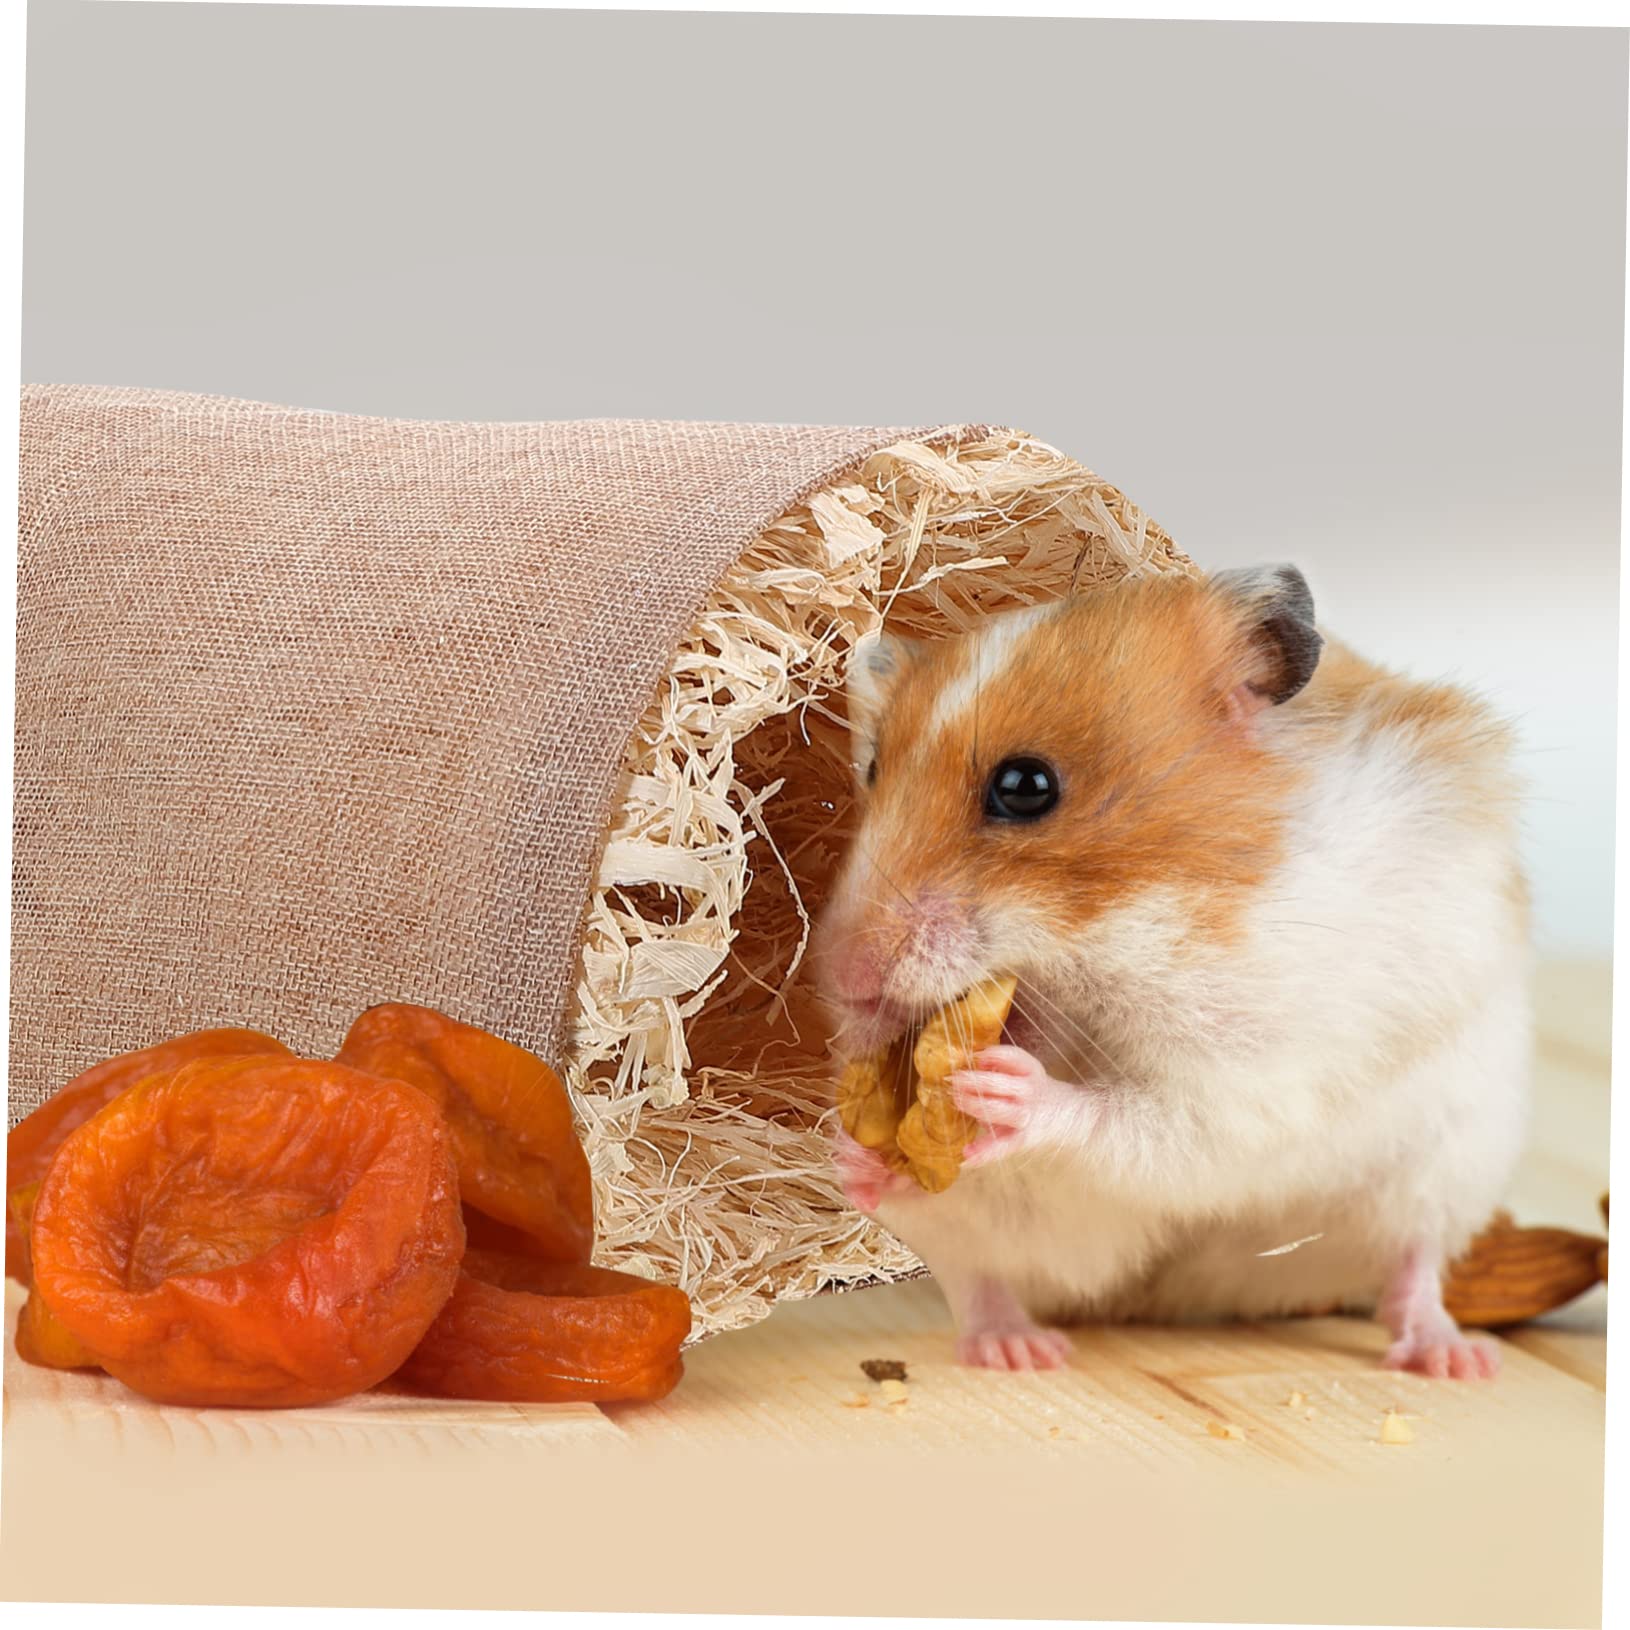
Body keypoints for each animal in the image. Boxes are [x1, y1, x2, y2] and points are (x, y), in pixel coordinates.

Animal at [813, 565, 1531, 1377]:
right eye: (873, 770)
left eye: (1026, 786)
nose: (844, 978)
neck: (1124, 937)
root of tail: (1185, 1295)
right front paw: (853, 1126)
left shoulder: (1252, 1073)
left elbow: (1150, 1120)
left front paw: (1006, 1088)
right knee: (976, 1274)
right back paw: (1012, 1342)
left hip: (1449, 1163)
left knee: (1415, 1264)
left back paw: (1456, 1360)